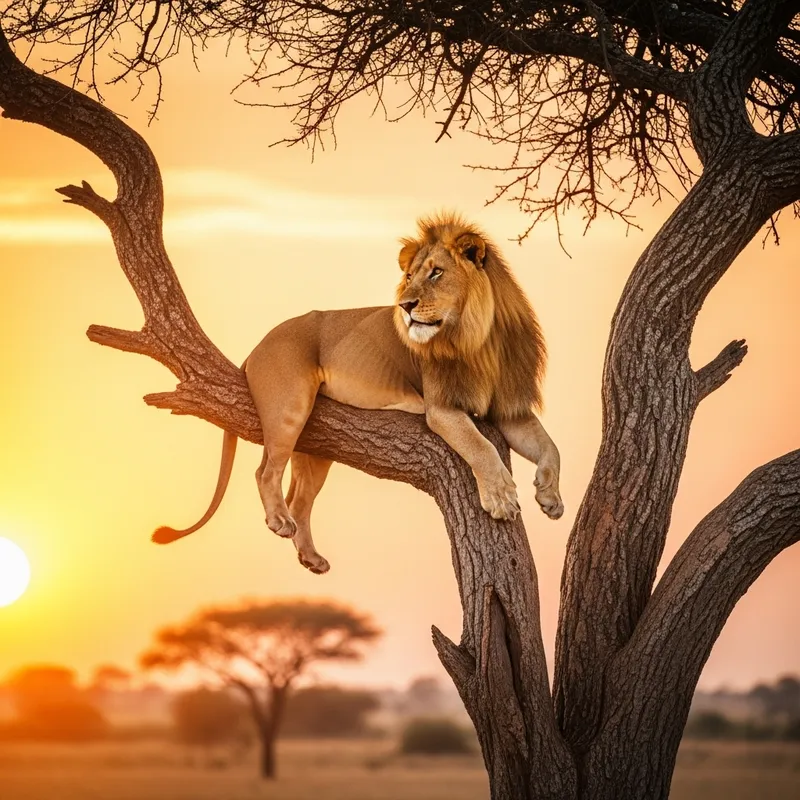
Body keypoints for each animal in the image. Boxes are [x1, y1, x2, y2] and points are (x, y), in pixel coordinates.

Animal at [153, 214, 563, 573]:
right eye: (409, 276)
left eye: (436, 272)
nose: (405, 305)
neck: (479, 339)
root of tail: (255, 348)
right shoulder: (441, 408)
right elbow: (481, 447)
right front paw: (502, 499)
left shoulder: (509, 409)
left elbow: (551, 447)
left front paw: (550, 497)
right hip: (289, 408)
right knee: (266, 472)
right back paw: (278, 521)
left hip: (316, 449)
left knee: (300, 501)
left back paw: (310, 557)